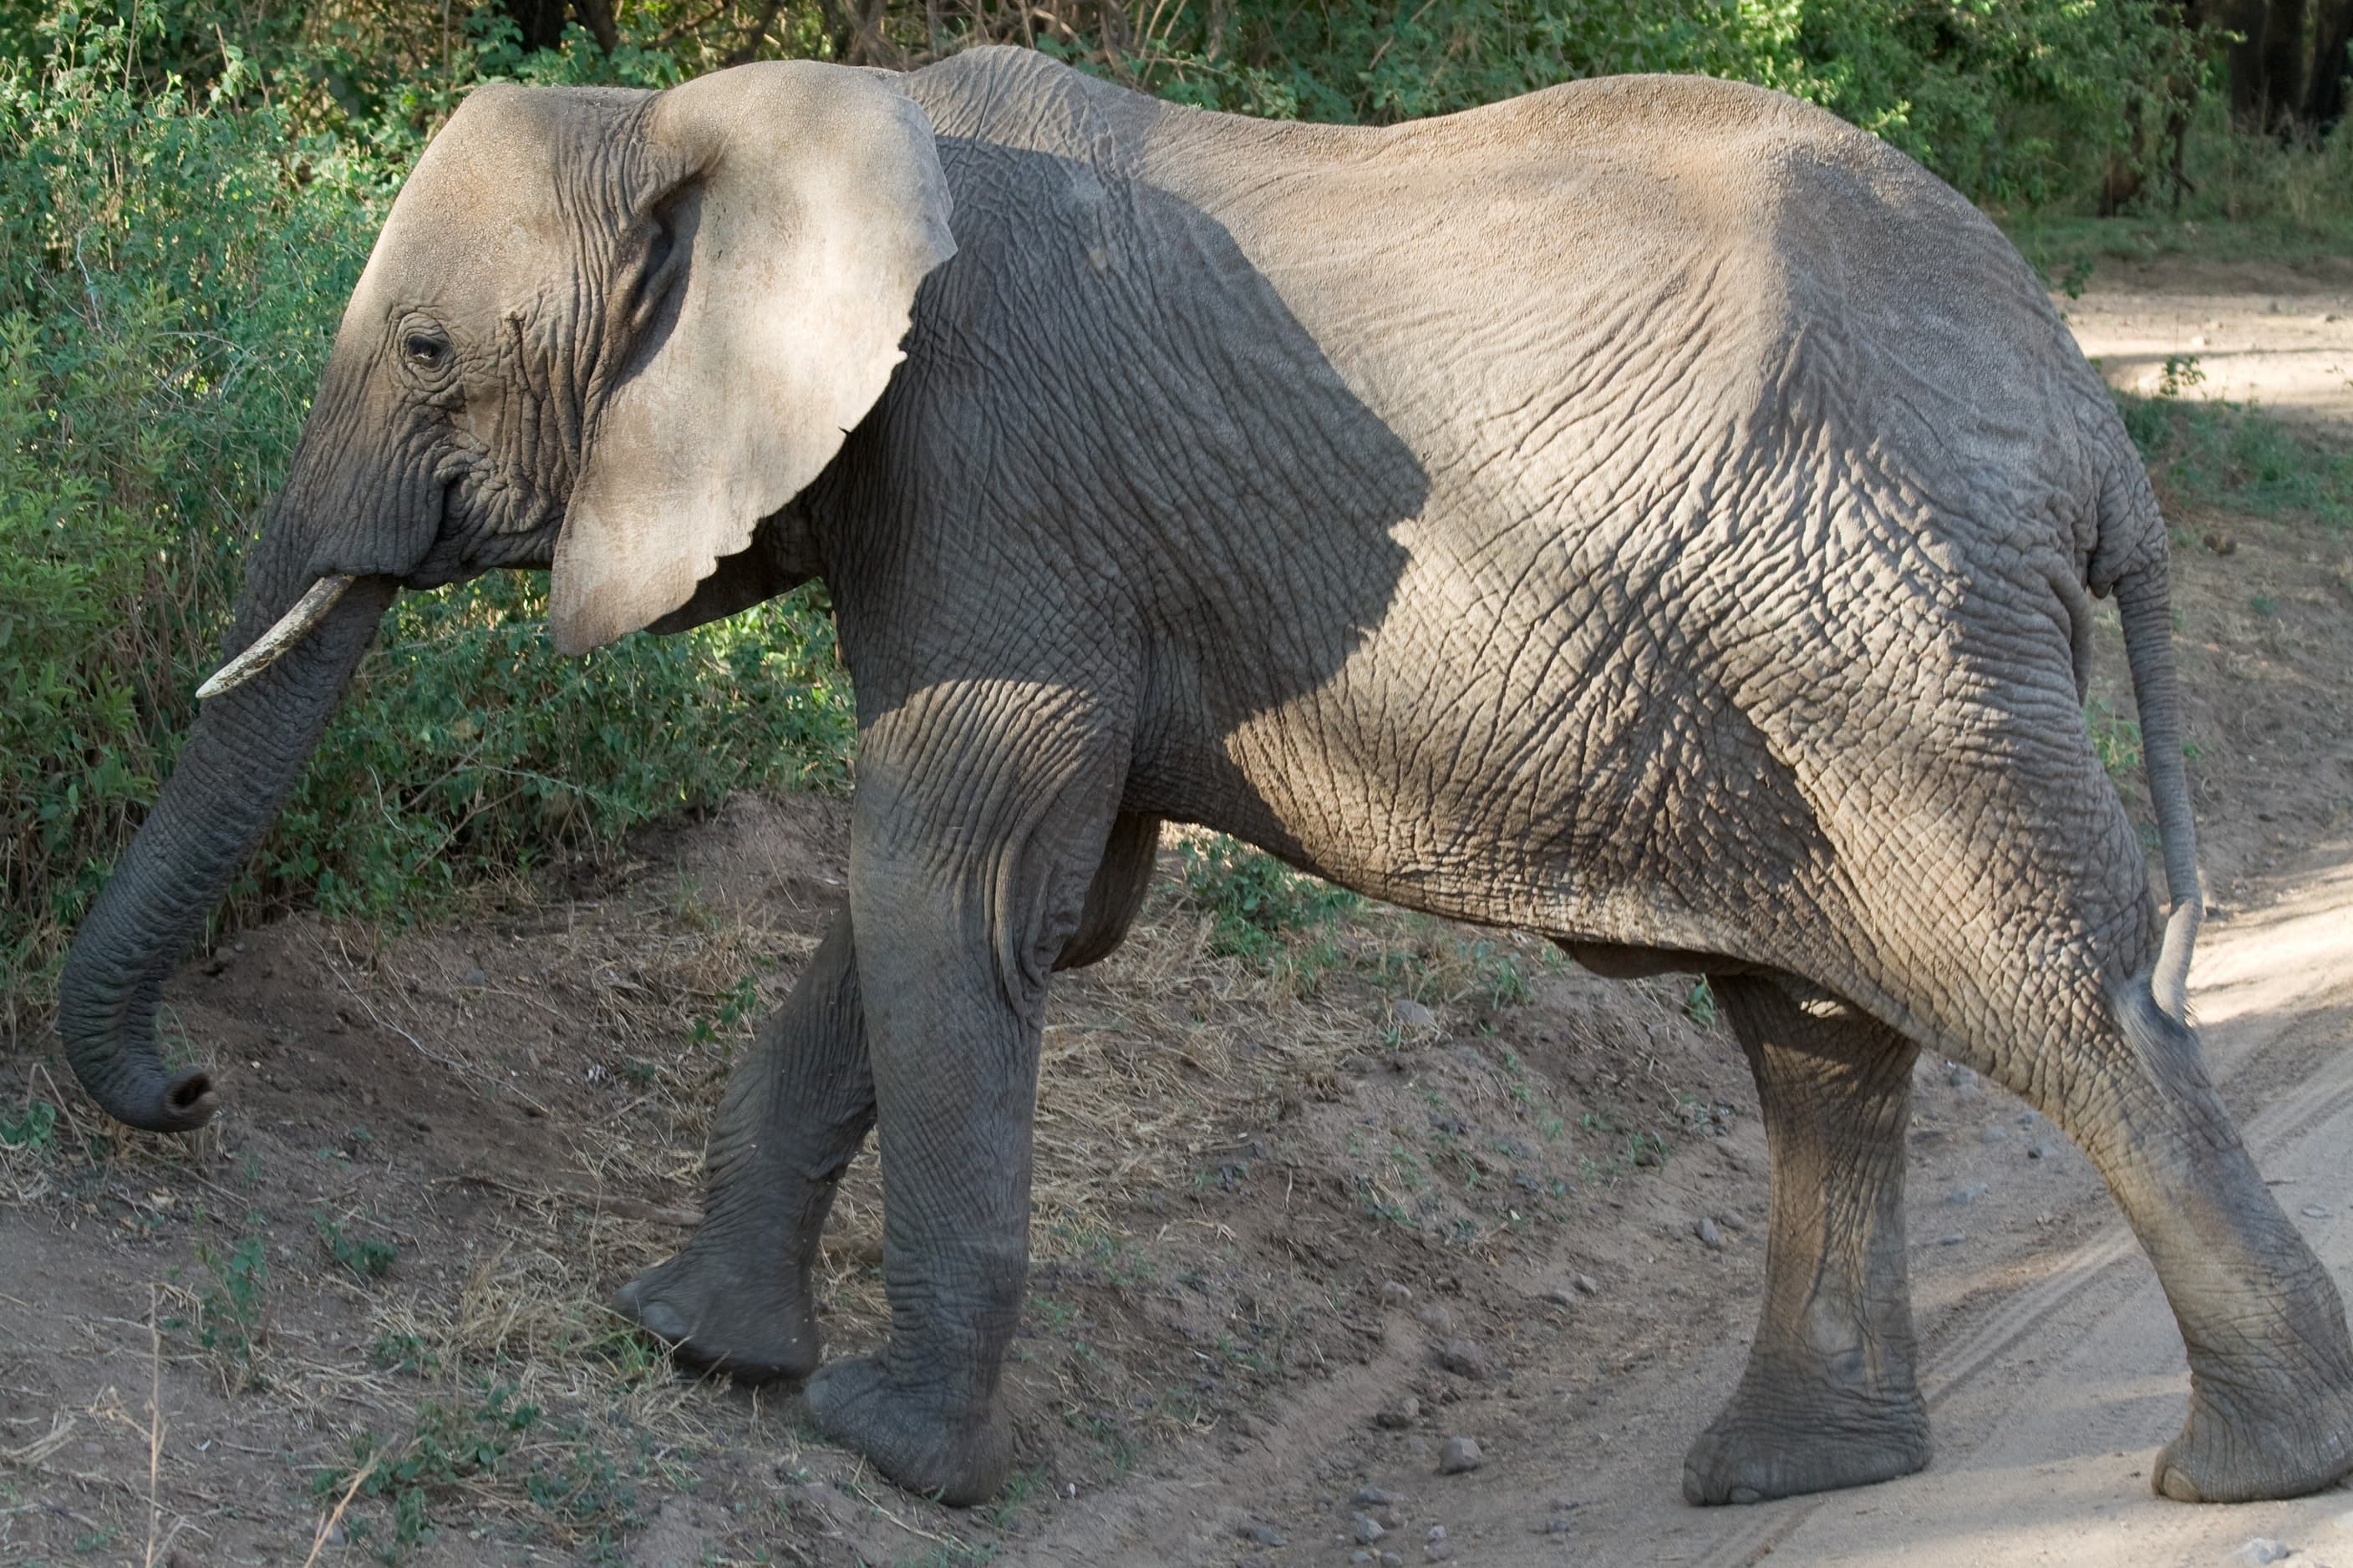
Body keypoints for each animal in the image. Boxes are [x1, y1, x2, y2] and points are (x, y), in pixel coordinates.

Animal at [56, 44, 2353, 1510]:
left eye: (430, 351)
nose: (193, 1089)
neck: (739, 107)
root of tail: (2094, 419)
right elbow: (1004, 901)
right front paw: (689, 1348)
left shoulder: (990, 470)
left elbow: (951, 871)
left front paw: (886, 1453)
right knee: (1815, 1030)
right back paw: (1793, 1469)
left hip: (1881, 632)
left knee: (2044, 994)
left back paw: (2247, 1466)